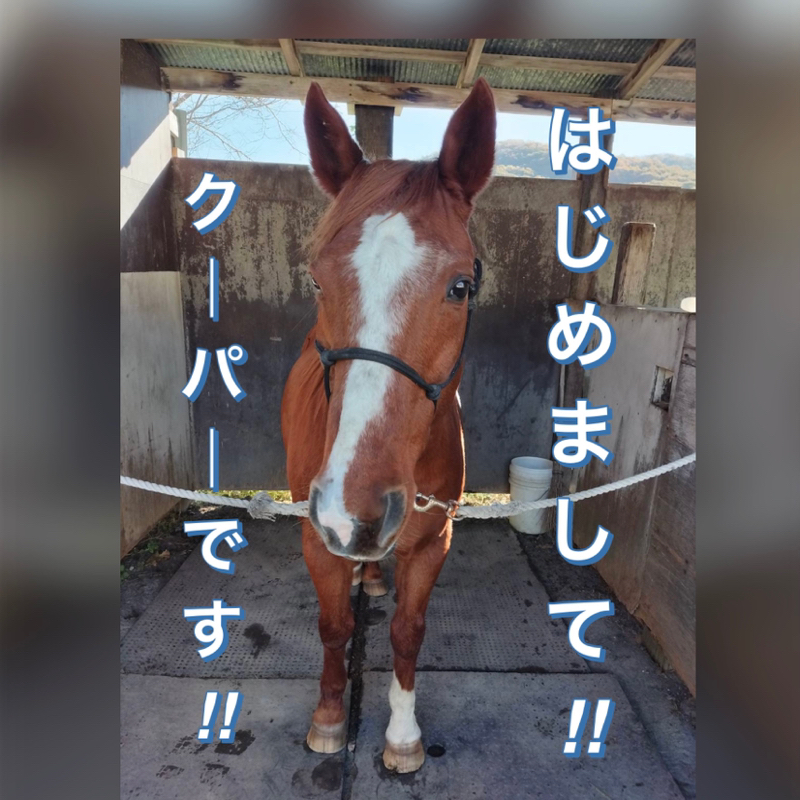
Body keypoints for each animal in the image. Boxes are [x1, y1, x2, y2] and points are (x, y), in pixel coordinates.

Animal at [281, 77, 495, 774]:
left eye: (460, 287)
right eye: (317, 280)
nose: (356, 513)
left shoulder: (433, 541)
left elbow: (407, 632)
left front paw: (403, 734)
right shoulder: (316, 533)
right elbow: (334, 628)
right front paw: (328, 719)